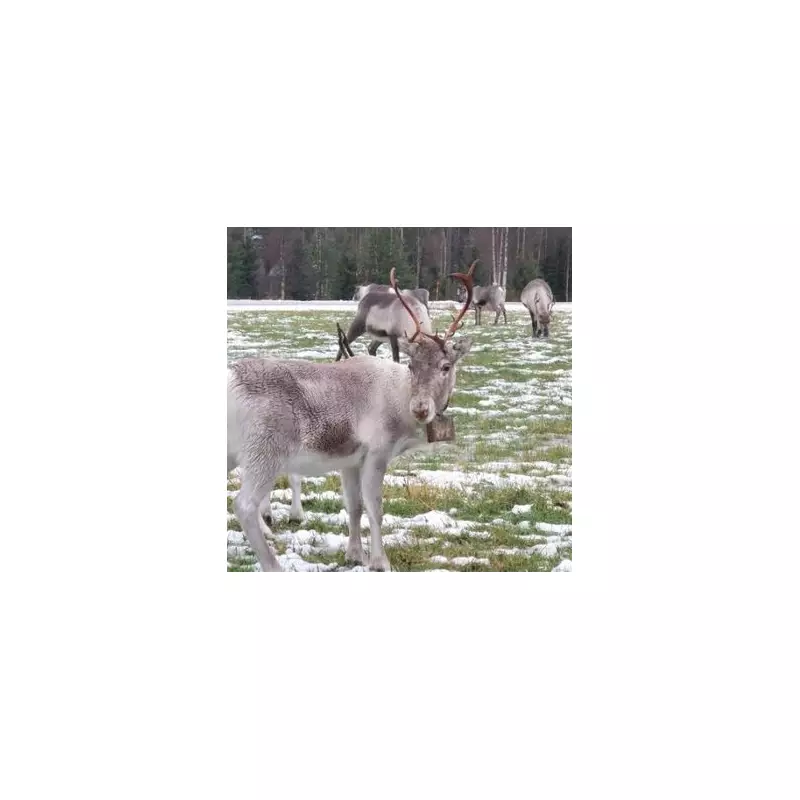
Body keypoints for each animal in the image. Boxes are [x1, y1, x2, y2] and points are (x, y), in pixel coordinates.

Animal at [227, 267, 474, 572]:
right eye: (411, 365)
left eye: (446, 366)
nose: (419, 408)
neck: (400, 404)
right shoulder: (378, 451)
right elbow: (375, 507)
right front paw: (380, 562)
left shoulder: (350, 460)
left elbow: (354, 506)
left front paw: (355, 554)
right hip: (265, 451)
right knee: (243, 505)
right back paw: (273, 565)